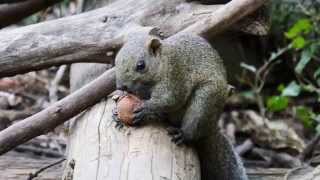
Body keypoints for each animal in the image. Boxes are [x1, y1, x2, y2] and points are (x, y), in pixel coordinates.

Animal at [114, 27, 249, 180]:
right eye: (116, 61)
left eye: (141, 65)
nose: (121, 86)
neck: (163, 61)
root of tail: (210, 127)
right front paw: (118, 104)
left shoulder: (175, 75)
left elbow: (170, 99)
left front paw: (146, 108)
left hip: (204, 102)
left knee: (193, 126)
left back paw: (183, 134)